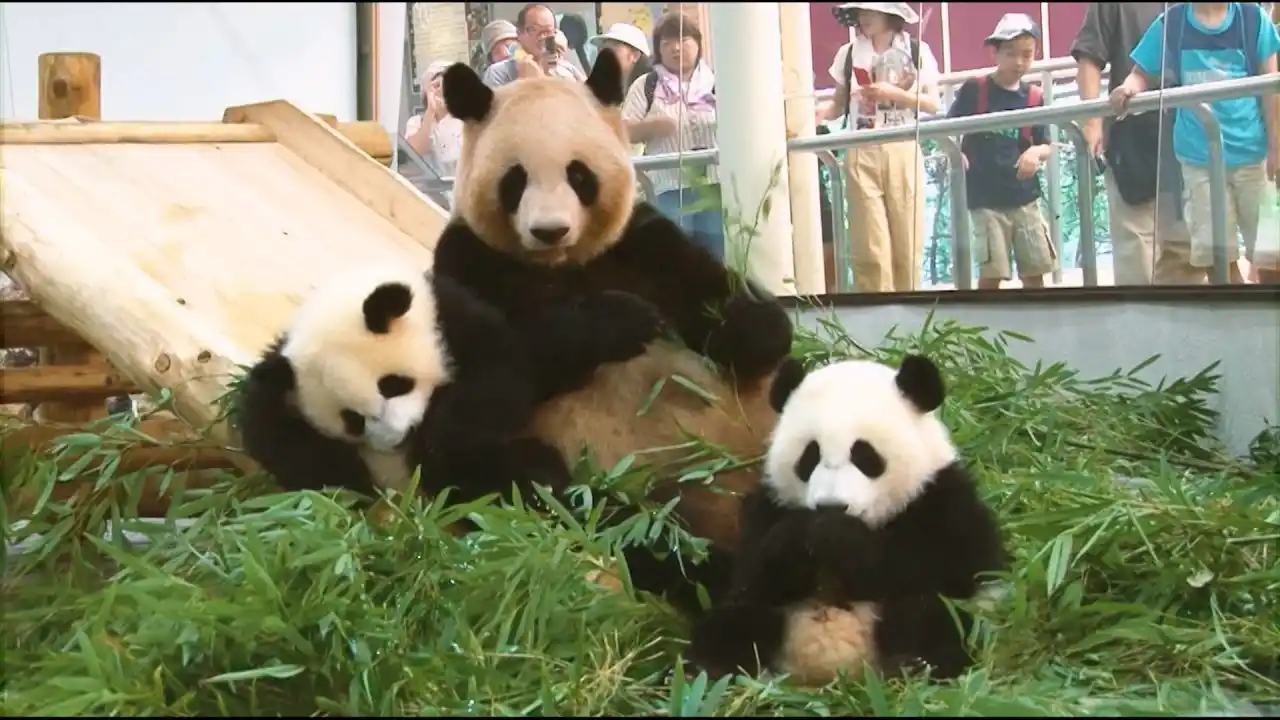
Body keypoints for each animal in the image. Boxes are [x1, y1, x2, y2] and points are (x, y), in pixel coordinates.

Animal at [237, 263, 656, 509]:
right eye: (352, 420)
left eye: (394, 385)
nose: (398, 436)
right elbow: (277, 435)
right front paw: (348, 478)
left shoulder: (453, 319)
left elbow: (506, 373)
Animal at [434, 45, 794, 611]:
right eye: (515, 180)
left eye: (578, 175)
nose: (550, 230)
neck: (559, 266)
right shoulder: (466, 263)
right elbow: (481, 382)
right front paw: (622, 320)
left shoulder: (641, 242)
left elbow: (718, 299)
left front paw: (752, 330)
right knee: (567, 500)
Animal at [686, 355, 1007, 686]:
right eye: (810, 456)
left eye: (864, 455)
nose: (831, 506)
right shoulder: (768, 505)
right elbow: (753, 571)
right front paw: (802, 534)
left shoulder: (942, 500)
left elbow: (933, 565)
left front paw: (836, 535)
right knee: (739, 619)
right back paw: (714, 666)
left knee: (928, 614)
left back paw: (915, 664)